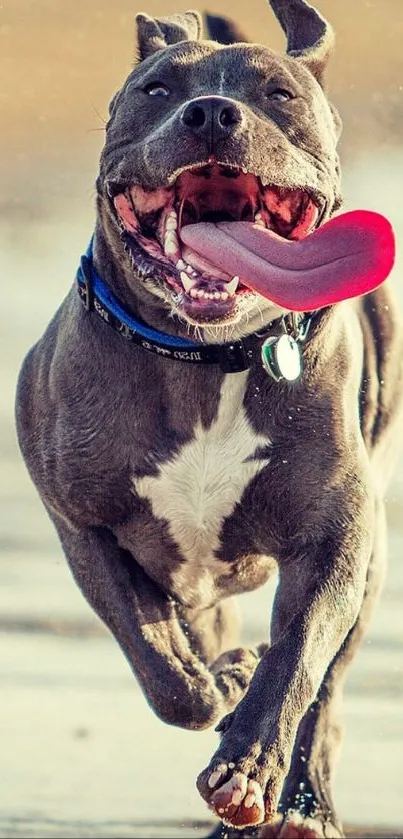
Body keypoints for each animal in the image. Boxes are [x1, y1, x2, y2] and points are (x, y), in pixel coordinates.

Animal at [15, 0, 403, 836]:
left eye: (278, 95)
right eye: (157, 89)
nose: (213, 113)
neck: (205, 358)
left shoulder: (336, 538)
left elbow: (296, 659)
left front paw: (247, 765)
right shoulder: (85, 528)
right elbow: (160, 662)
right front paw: (218, 685)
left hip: (370, 562)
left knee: (326, 690)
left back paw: (301, 804)